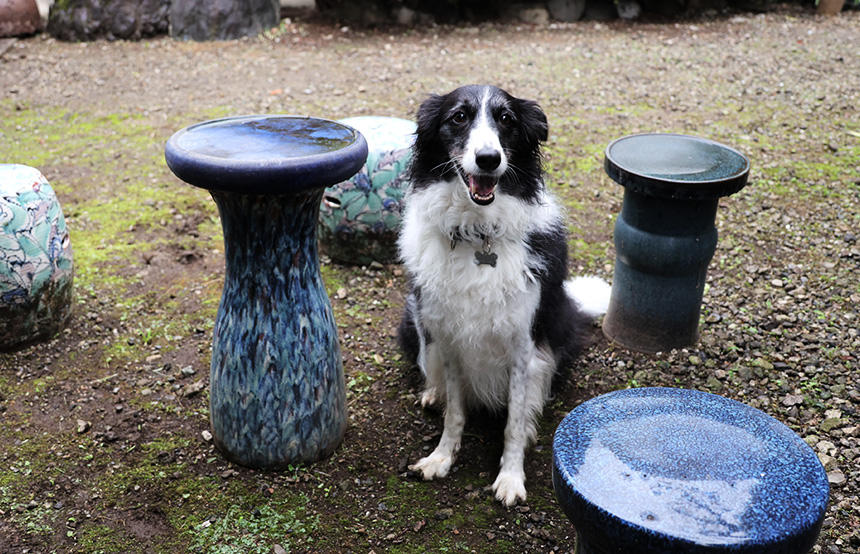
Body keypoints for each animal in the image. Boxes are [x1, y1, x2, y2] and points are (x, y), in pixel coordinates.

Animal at [398, 84, 612, 502]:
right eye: (458, 117)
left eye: (506, 119)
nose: (488, 159)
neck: (478, 233)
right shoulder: (449, 337)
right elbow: (455, 413)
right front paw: (441, 458)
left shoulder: (522, 344)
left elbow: (513, 421)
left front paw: (511, 478)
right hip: (417, 316)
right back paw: (432, 392)